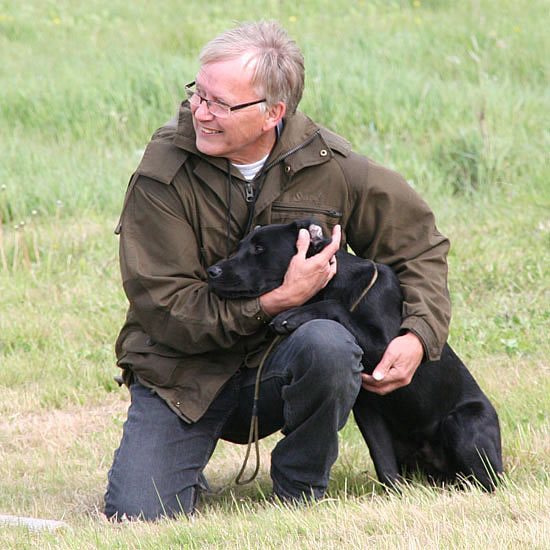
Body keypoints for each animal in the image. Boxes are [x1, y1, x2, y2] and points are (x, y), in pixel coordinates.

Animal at [209, 220, 506, 492]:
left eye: (260, 249)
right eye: (240, 246)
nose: (212, 271)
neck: (337, 284)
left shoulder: (390, 348)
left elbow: (333, 305)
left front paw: (291, 316)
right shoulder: (368, 409)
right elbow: (383, 461)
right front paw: (395, 496)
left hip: (463, 423)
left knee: (490, 481)